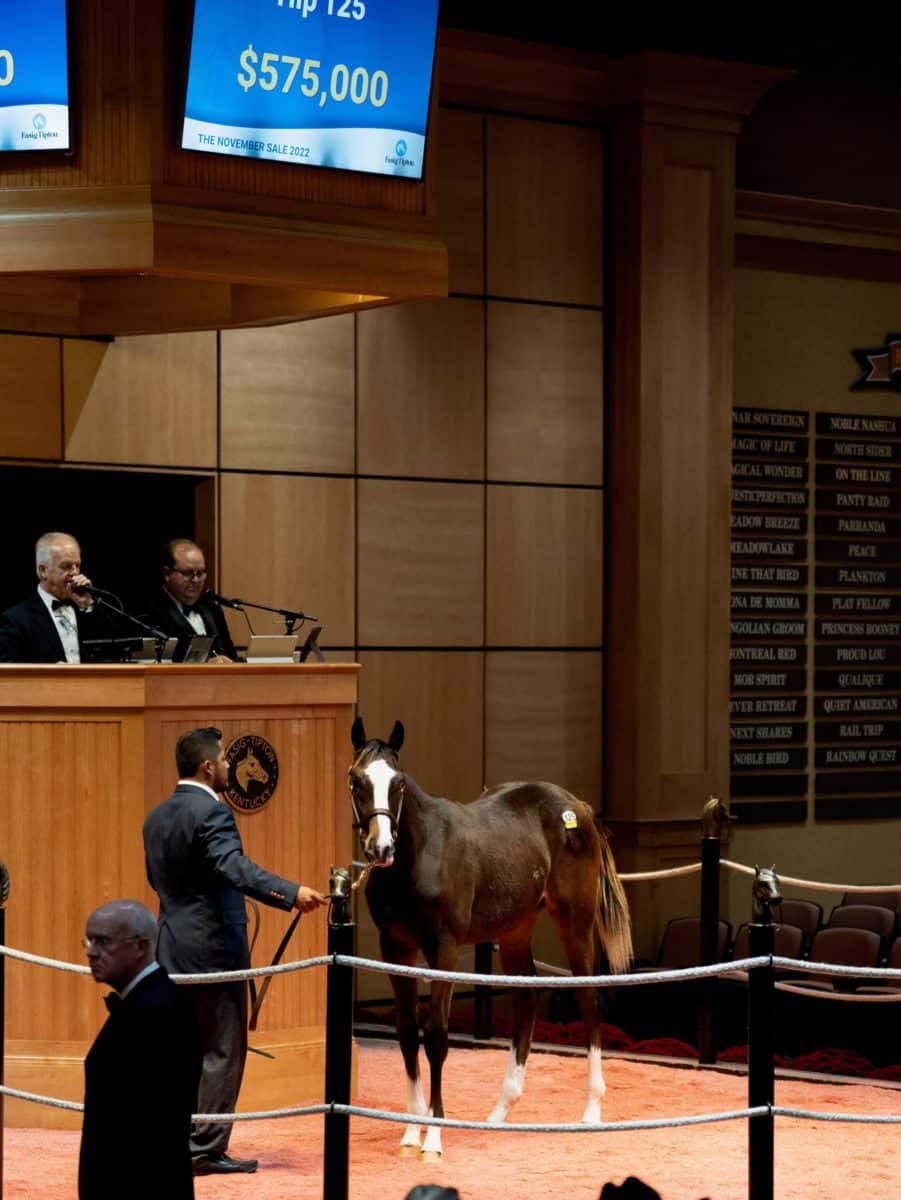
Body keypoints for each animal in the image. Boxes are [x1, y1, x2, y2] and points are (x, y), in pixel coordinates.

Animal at [347, 715, 633, 1156]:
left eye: (398, 782)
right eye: (356, 779)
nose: (381, 848)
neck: (418, 855)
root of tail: (579, 808)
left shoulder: (443, 951)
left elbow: (437, 1036)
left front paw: (433, 1138)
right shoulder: (395, 949)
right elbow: (408, 1032)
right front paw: (410, 1132)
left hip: (576, 922)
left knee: (590, 1001)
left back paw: (591, 1112)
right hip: (516, 931)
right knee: (525, 1001)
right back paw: (501, 1111)